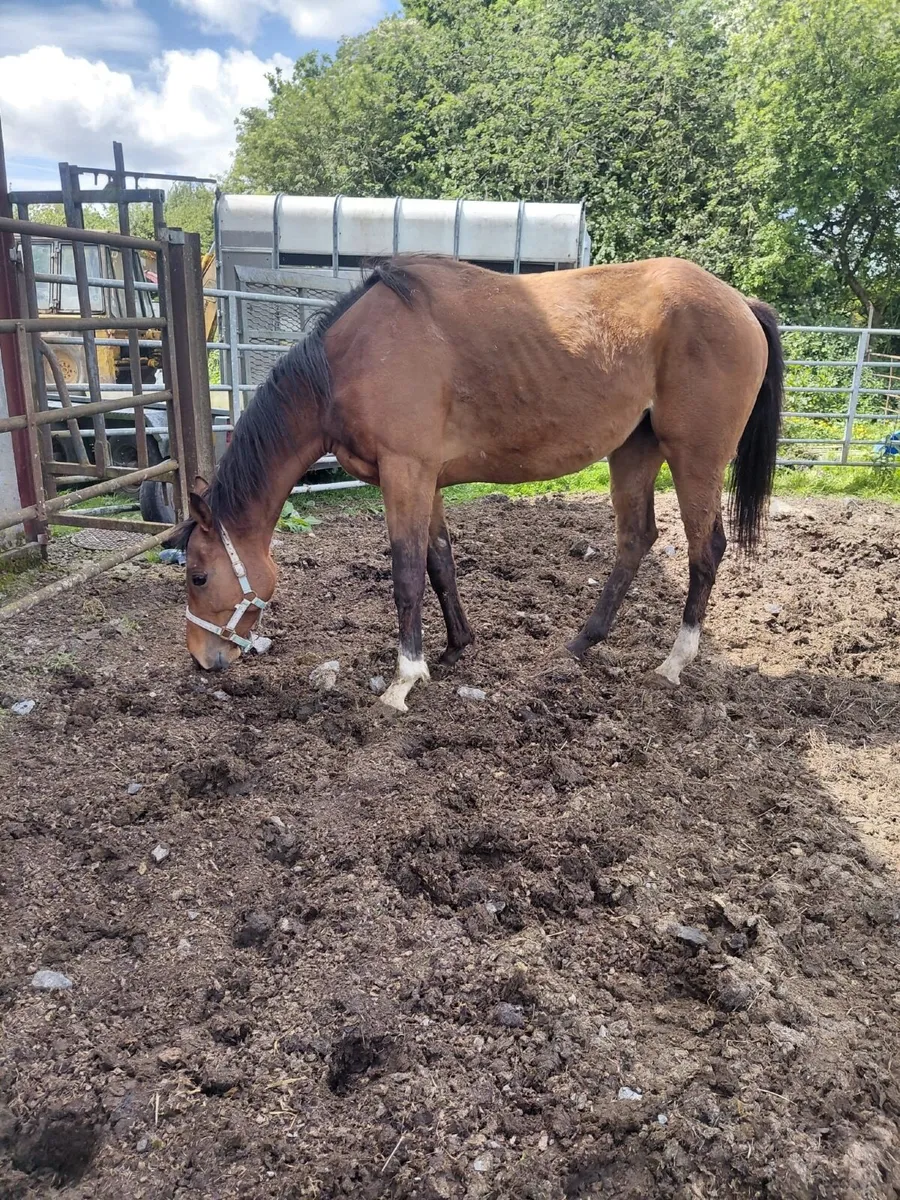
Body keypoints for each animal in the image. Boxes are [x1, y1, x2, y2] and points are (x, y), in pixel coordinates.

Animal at [174, 254, 783, 711]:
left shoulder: (406, 471)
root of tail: (741, 304)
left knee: (706, 549)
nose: (202, 659)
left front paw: (404, 679)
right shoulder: (427, 479)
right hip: (635, 451)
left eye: (199, 576)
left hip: (695, 457)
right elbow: (439, 562)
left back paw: (675, 662)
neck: (350, 361)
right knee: (637, 540)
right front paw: (454, 649)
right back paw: (580, 643)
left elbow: (406, 574)